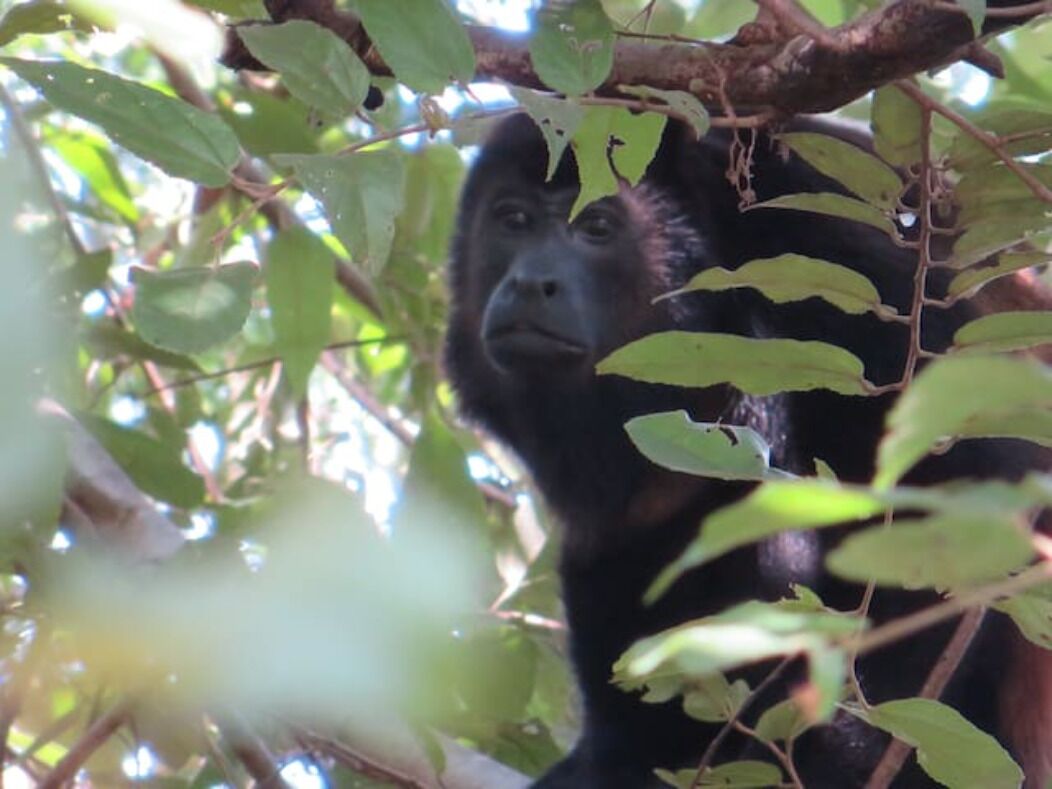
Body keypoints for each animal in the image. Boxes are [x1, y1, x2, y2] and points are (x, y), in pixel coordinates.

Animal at [444, 113, 1051, 788]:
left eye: (597, 227)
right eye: (513, 220)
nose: (530, 282)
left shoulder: (844, 246)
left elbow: (968, 487)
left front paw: (845, 751)